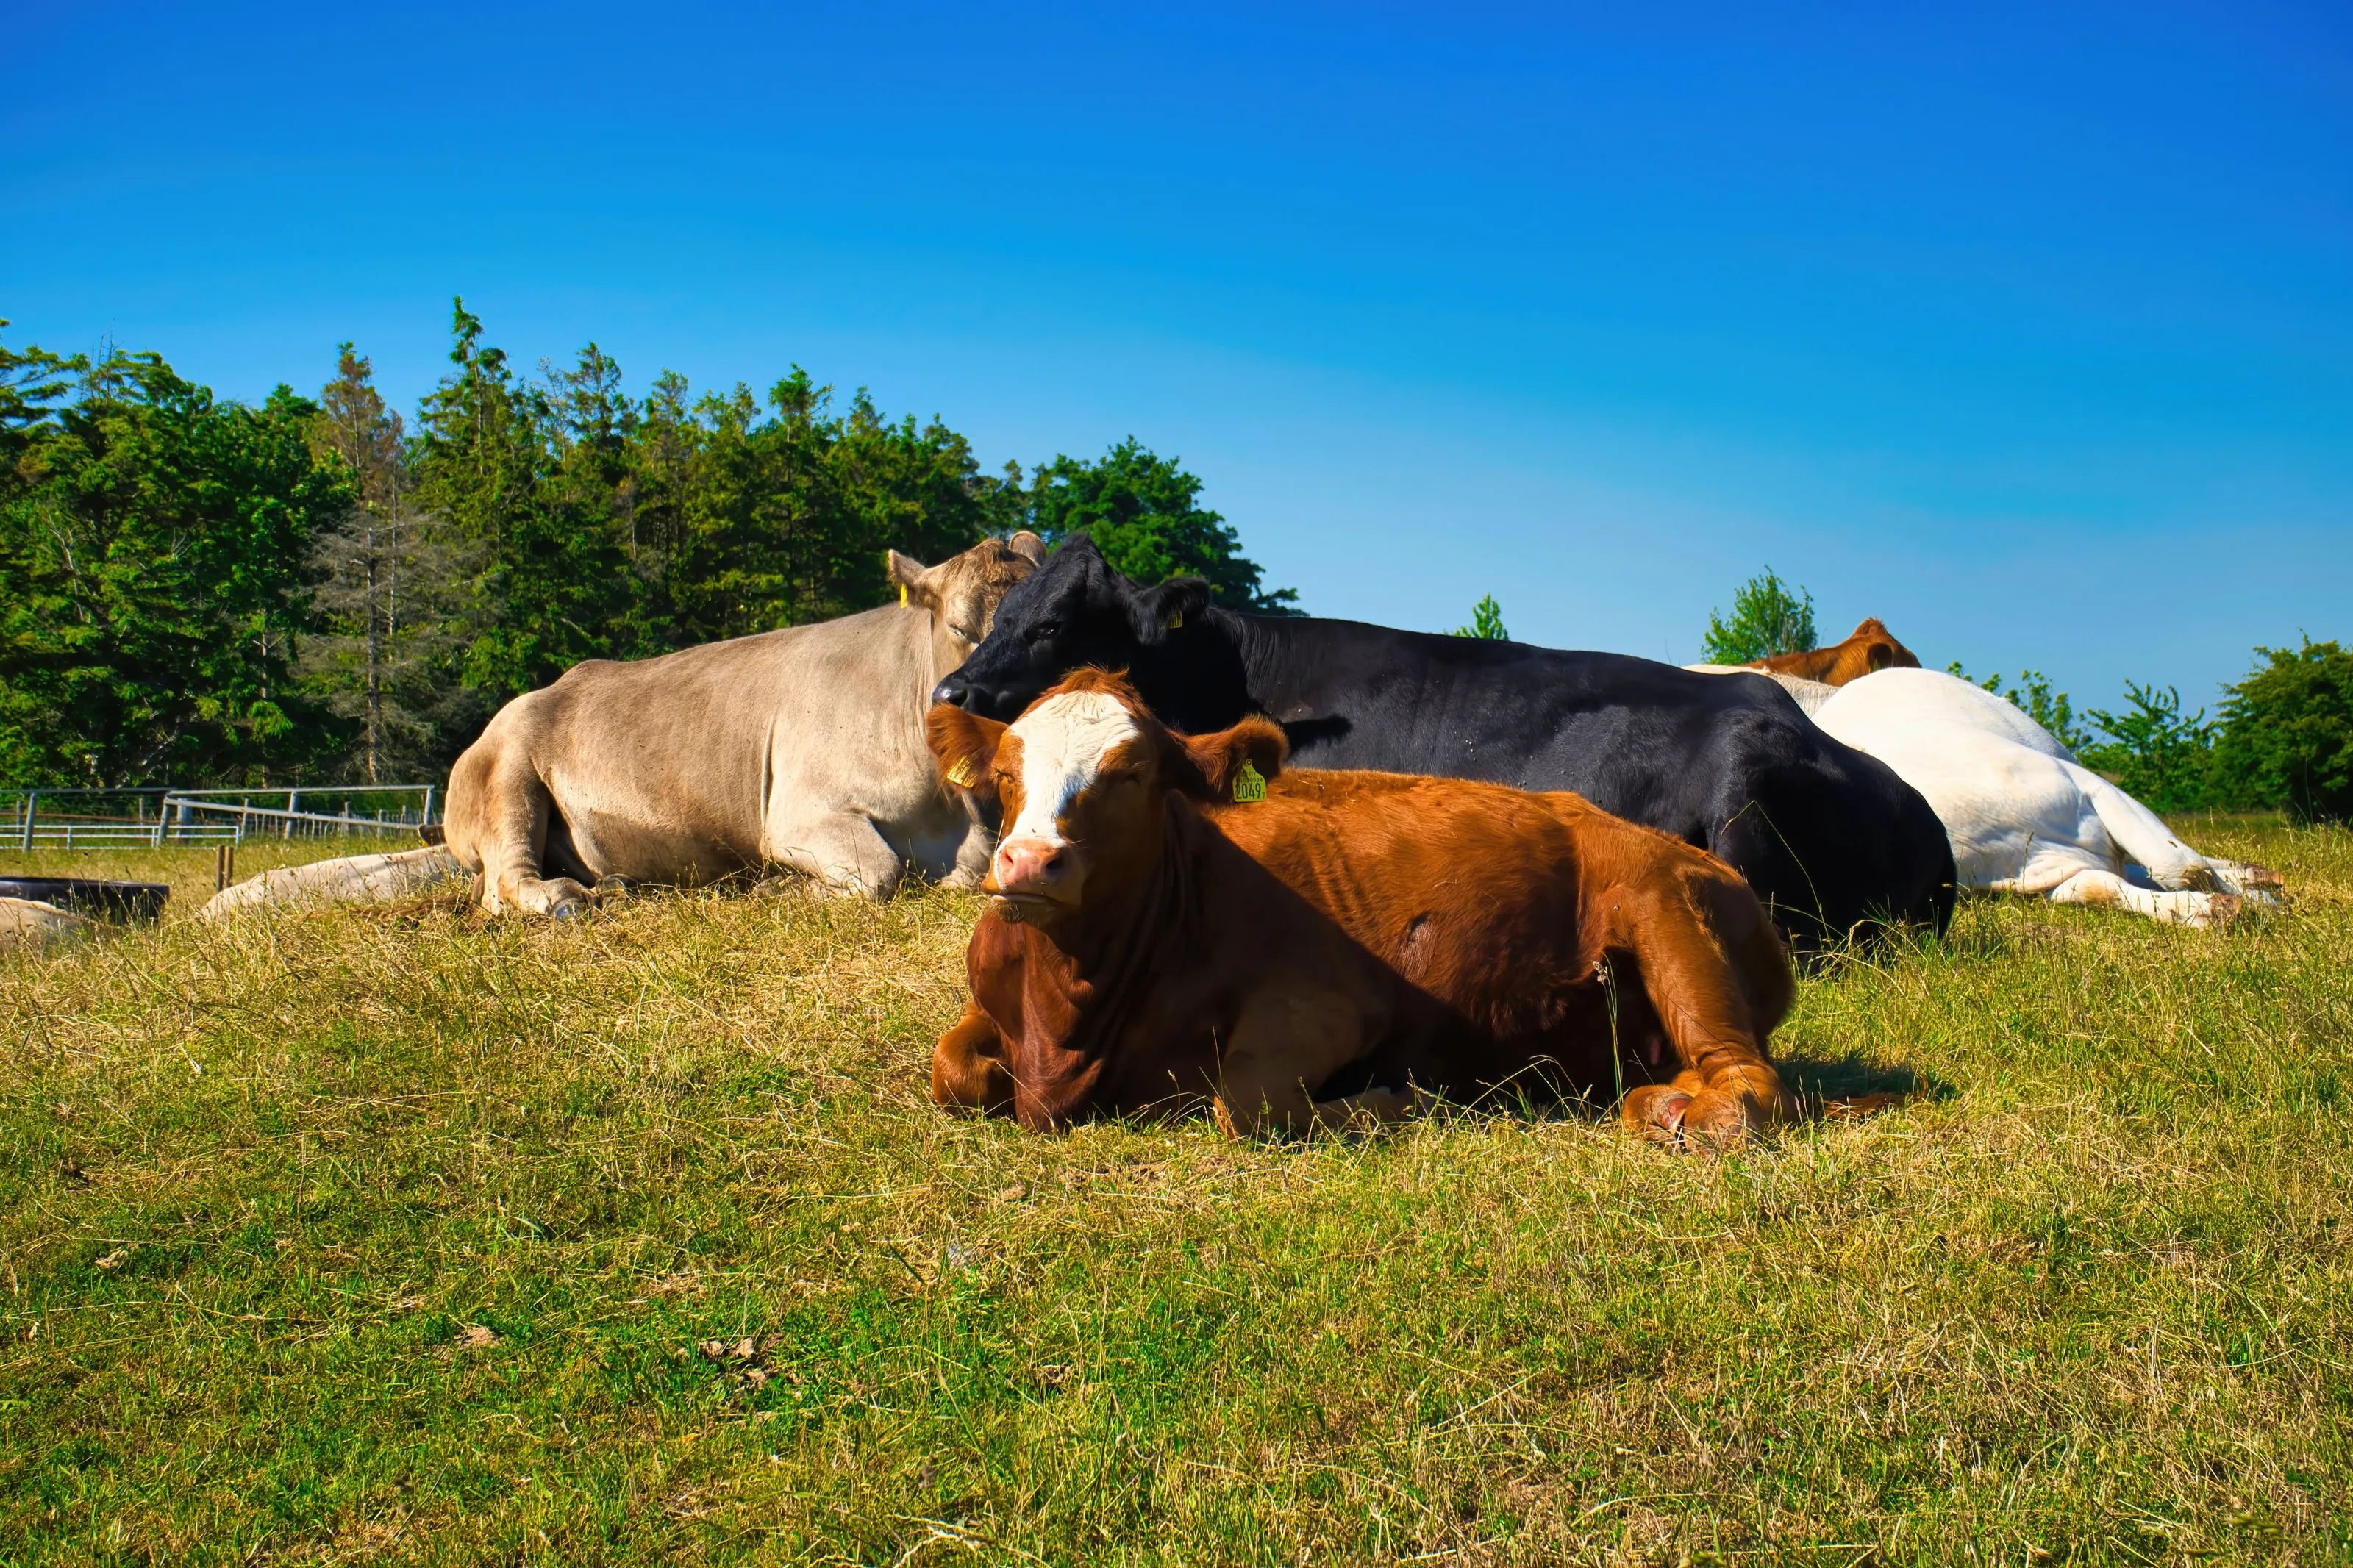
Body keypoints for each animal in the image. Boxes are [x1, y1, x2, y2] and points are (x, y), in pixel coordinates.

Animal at [435, 533, 1046, 915]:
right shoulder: (799, 813)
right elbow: (881, 872)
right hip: (508, 776)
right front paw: (784, 887)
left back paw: (614, 883)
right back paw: (564, 899)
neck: (951, 808)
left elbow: (972, 869)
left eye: (1051, 626)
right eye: (962, 628)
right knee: (505, 883)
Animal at [925, 669, 1810, 1145]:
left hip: (1666, 913)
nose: (1027, 861)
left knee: (1750, 1085)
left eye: (1132, 774)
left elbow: (1245, 1102)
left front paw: (1392, 1101)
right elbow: (950, 1069)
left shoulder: (1335, 1002)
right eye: (1005, 773)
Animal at [1810, 667, 2285, 927]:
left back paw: (2258, 877)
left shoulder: (2089, 784)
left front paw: (2259, 900)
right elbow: (2103, 888)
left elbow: (2181, 867)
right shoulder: (2042, 873)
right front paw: (2211, 910)